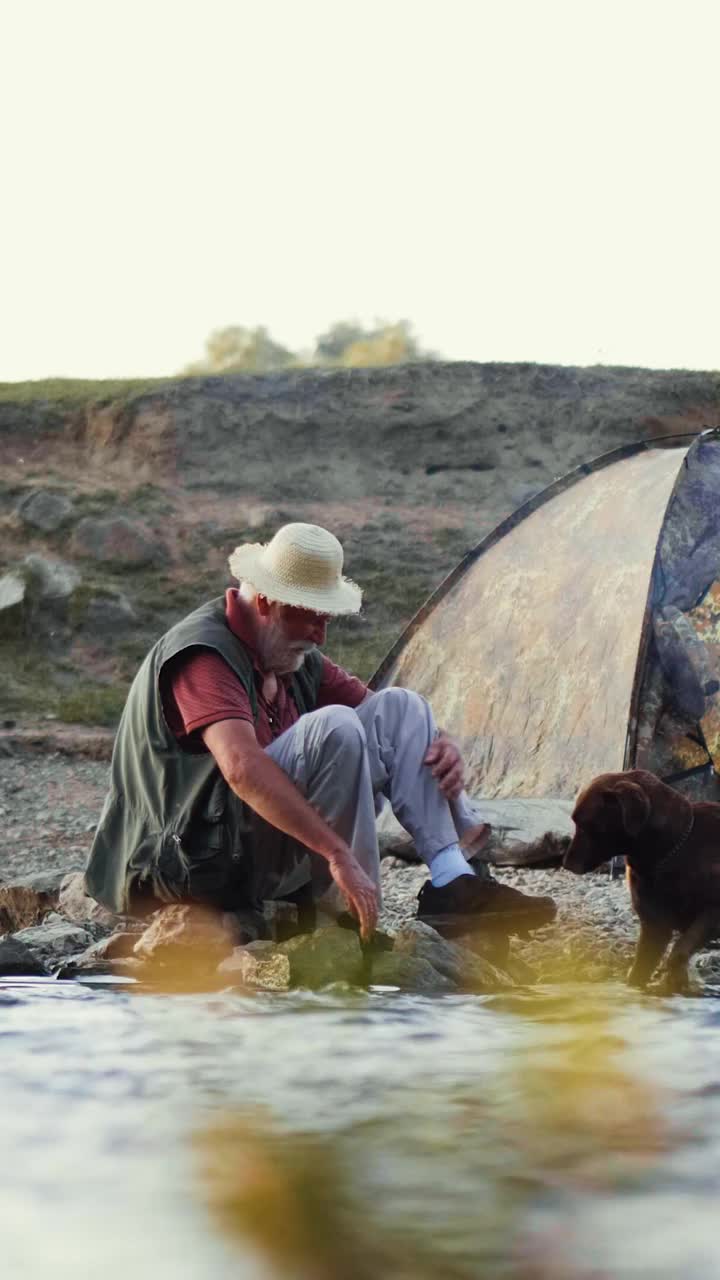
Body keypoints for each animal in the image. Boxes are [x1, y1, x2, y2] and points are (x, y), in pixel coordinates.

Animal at [561, 768, 717, 988]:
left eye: (584, 825)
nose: (566, 862)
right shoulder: (653, 923)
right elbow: (642, 965)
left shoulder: (711, 910)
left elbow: (683, 946)